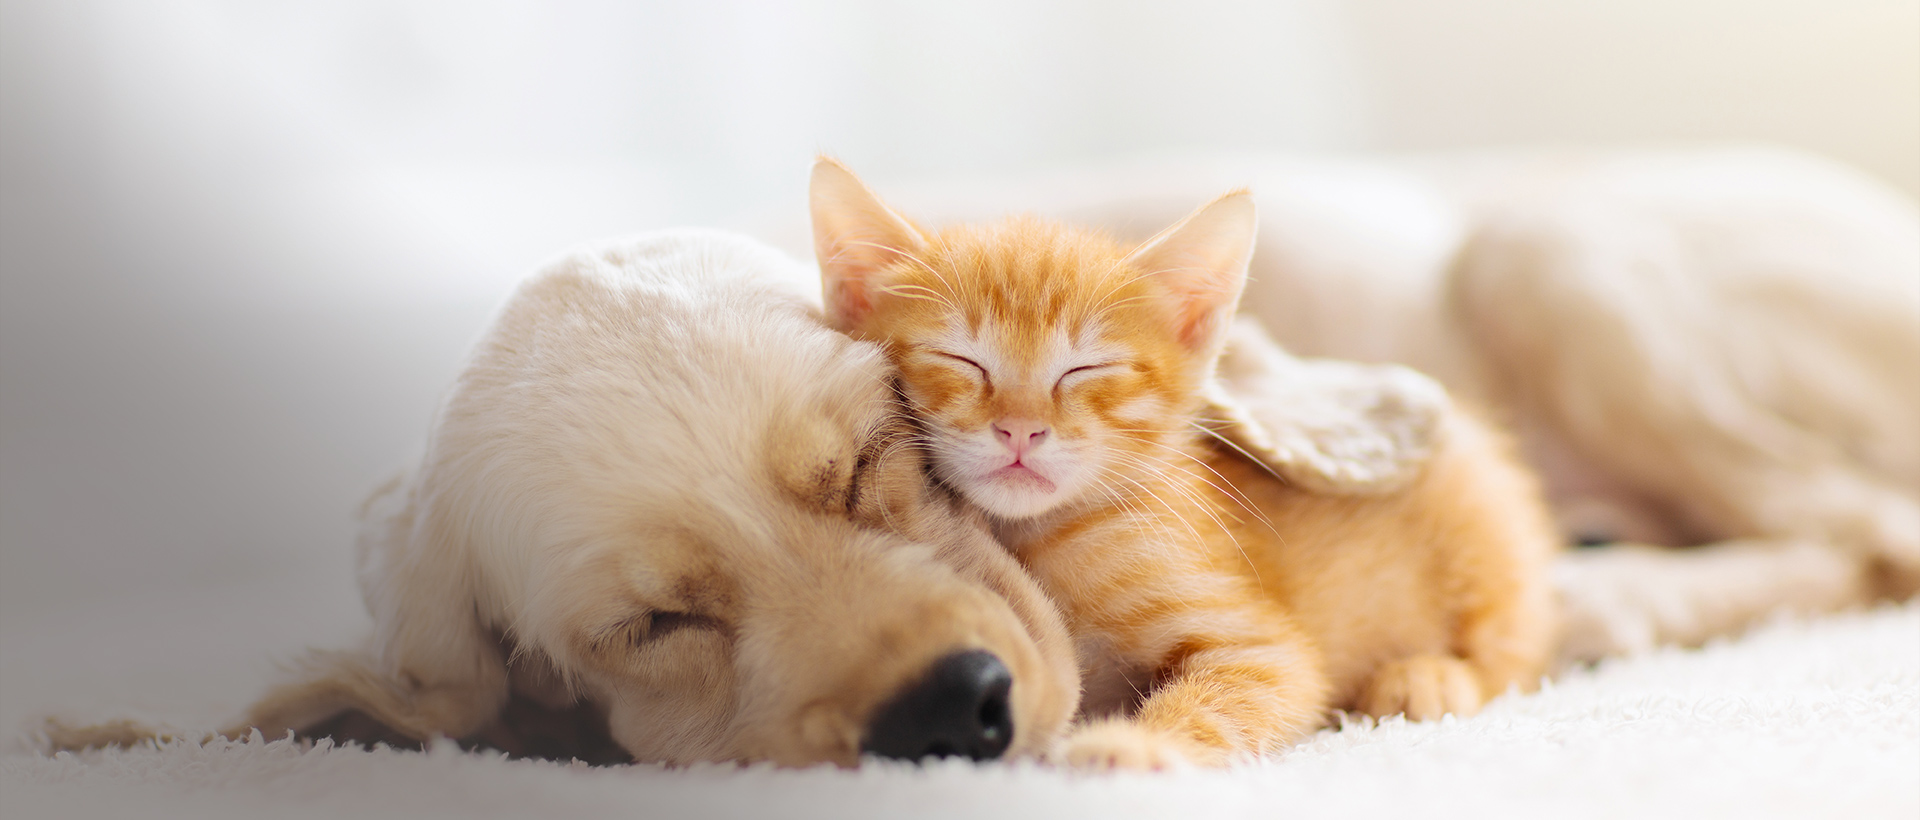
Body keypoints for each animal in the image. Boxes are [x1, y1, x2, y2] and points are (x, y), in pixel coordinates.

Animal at [810, 159, 1559, 771]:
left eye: (1086, 369)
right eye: (961, 359)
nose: (1020, 428)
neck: (1037, 538)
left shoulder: (1261, 648)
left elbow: (1233, 693)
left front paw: (1133, 745)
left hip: (1482, 531)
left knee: (1517, 650)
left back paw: (1430, 676)